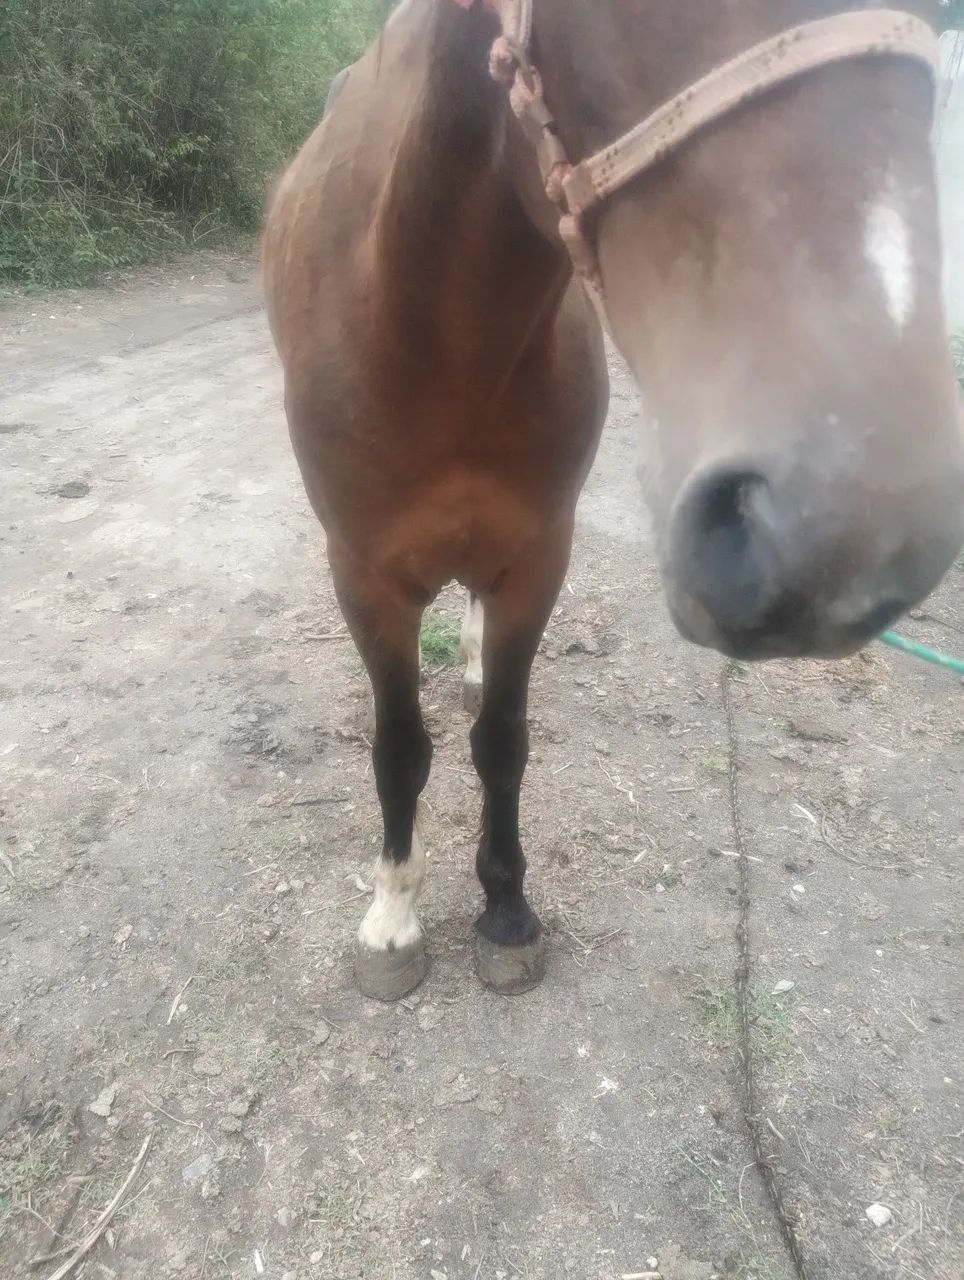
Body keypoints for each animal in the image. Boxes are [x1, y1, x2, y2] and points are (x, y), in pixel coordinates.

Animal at [262, 0, 964, 1001]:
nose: (856, 530)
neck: (436, 341)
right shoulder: (365, 575)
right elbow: (400, 750)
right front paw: (393, 919)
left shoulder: (536, 557)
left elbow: (501, 739)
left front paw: (507, 910)